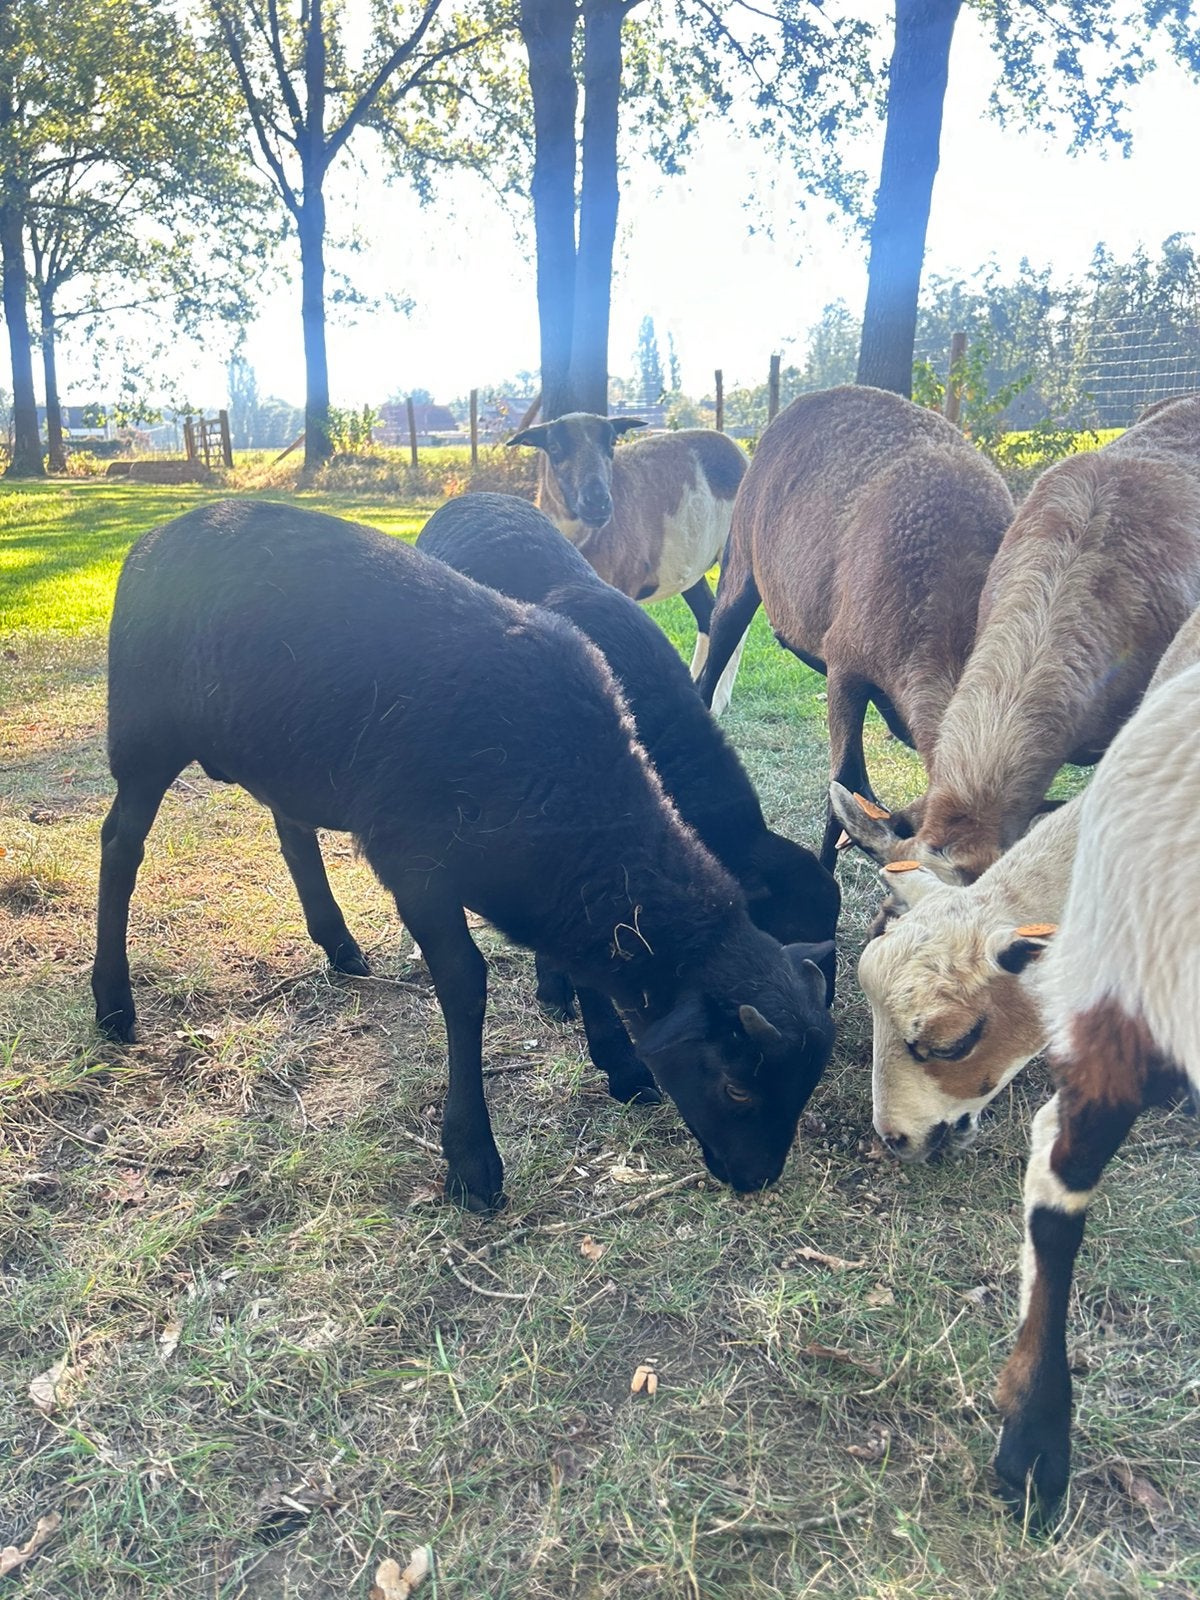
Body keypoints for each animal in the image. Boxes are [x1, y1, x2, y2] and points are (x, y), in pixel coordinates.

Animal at [508, 413, 750, 715]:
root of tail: (734, 447)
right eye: (554, 447)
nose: (597, 502)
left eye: (612, 443)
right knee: (708, 613)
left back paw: (718, 700)